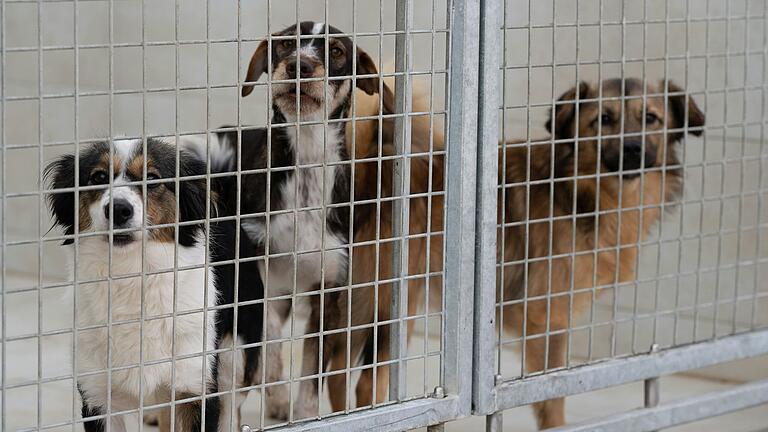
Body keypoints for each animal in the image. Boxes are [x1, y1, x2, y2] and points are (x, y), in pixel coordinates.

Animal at [46, 138, 268, 432]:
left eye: (152, 178)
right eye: (98, 177)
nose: (118, 209)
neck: (133, 276)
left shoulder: (195, 387)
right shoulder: (98, 396)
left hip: (238, 354)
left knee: (232, 406)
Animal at [207, 22, 392, 420]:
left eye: (336, 51)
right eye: (285, 45)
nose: (299, 65)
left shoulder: (330, 289)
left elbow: (313, 370)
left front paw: (305, 412)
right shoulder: (259, 275)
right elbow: (272, 339)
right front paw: (271, 384)